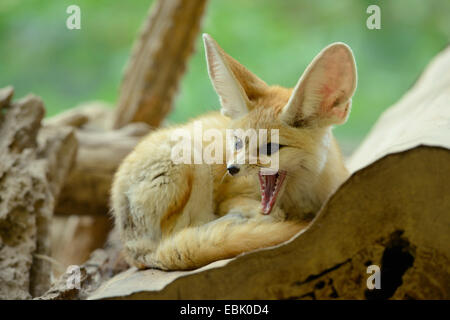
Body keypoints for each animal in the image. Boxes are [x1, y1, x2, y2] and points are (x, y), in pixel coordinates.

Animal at [110, 34, 356, 270]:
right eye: (238, 143)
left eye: (270, 148)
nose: (232, 168)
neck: (300, 196)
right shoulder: (232, 197)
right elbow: (266, 214)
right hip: (191, 158)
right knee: (181, 234)